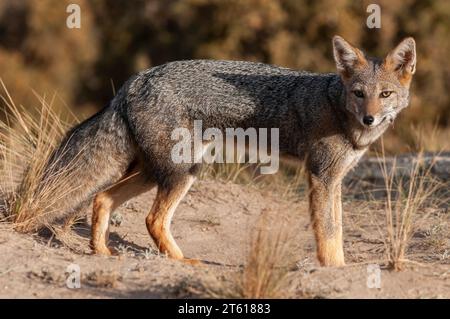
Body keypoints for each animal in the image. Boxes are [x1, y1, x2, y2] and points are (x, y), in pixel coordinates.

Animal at [40, 36, 416, 268]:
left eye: (384, 95)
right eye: (358, 93)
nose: (369, 118)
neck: (336, 106)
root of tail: (135, 80)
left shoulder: (335, 180)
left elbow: (336, 229)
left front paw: (340, 266)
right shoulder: (321, 176)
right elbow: (327, 232)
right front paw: (333, 269)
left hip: (154, 172)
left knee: (102, 198)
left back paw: (102, 251)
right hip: (183, 171)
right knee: (152, 219)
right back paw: (182, 262)